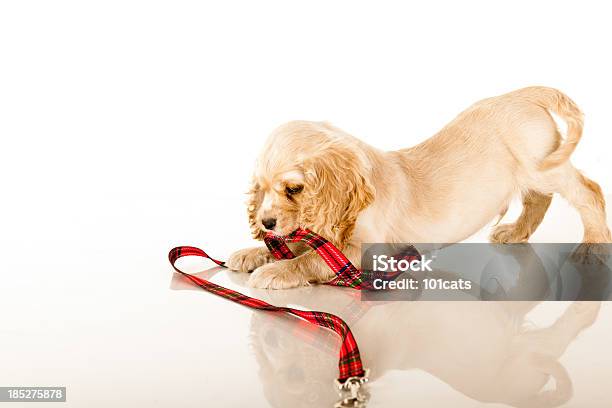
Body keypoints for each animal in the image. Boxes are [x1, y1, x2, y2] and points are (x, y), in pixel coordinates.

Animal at [227, 87, 608, 288]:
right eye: (261, 189)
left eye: (293, 189)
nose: (265, 223)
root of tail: (523, 96)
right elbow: (299, 245)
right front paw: (252, 252)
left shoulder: (369, 251)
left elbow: (313, 259)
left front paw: (276, 270)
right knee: (539, 200)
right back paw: (515, 231)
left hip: (542, 165)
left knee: (588, 191)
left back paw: (593, 244)